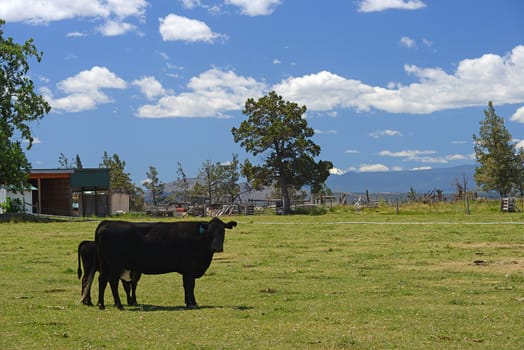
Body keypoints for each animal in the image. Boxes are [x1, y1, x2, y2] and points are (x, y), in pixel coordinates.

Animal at [94, 217, 237, 310]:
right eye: (210, 232)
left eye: (223, 231)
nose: (217, 247)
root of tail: (106, 222)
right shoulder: (189, 269)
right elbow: (189, 285)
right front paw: (192, 303)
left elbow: (188, 286)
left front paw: (189, 302)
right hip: (114, 265)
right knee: (112, 282)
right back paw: (119, 305)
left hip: (105, 264)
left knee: (102, 280)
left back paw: (101, 304)